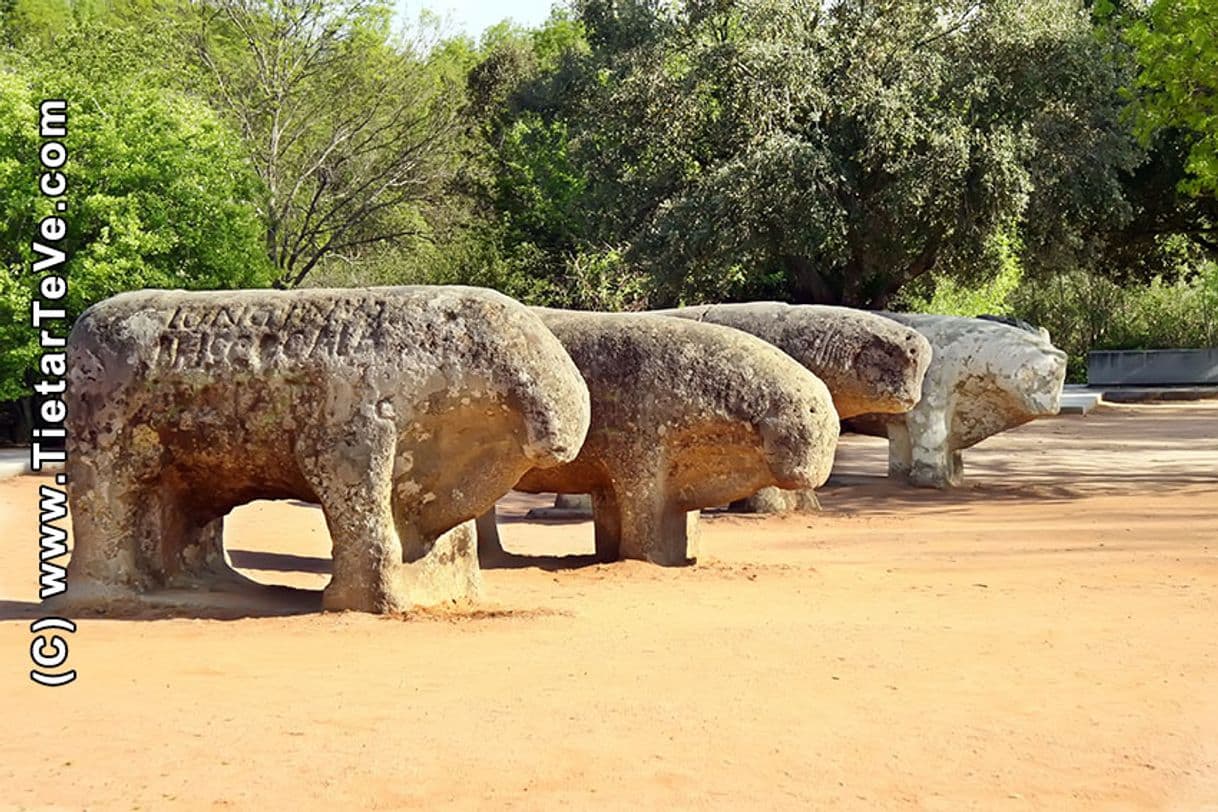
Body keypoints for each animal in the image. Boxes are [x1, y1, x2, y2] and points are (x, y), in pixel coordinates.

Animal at [49, 288, 591, 613]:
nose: (558, 432)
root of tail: (83, 325)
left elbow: (446, 544)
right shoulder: (350, 434)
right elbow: (367, 527)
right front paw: (363, 597)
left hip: (190, 468)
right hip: (105, 449)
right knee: (107, 512)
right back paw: (106, 589)